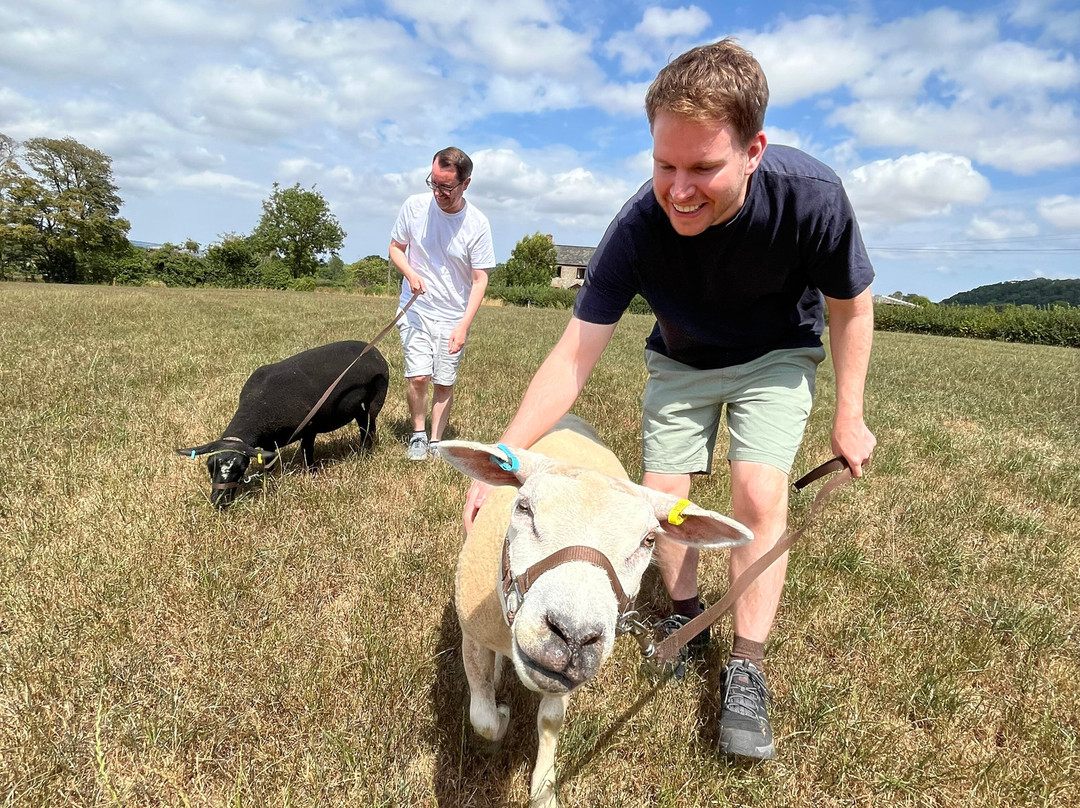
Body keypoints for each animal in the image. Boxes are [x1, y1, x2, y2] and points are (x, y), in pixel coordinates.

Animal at [177, 340, 388, 507]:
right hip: (354, 405)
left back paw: (366, 452)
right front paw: (269, 481)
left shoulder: (309, 427)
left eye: (241, 468)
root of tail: (373, 350)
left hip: (377, 395)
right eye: (209, 466)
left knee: (370, 422)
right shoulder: (268, 441)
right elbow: (269, 464)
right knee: (362, 420)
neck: (258, 407)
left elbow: (307, 452)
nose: (219, 502)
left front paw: (312, 475)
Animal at [439, 415, 752, 808]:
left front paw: (544, 788)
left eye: (649, 540)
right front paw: (503, 713)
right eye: (523, 507)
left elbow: (550, 721)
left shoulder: (562, 682)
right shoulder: (474, 635)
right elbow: (482, 717)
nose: (572, 636)